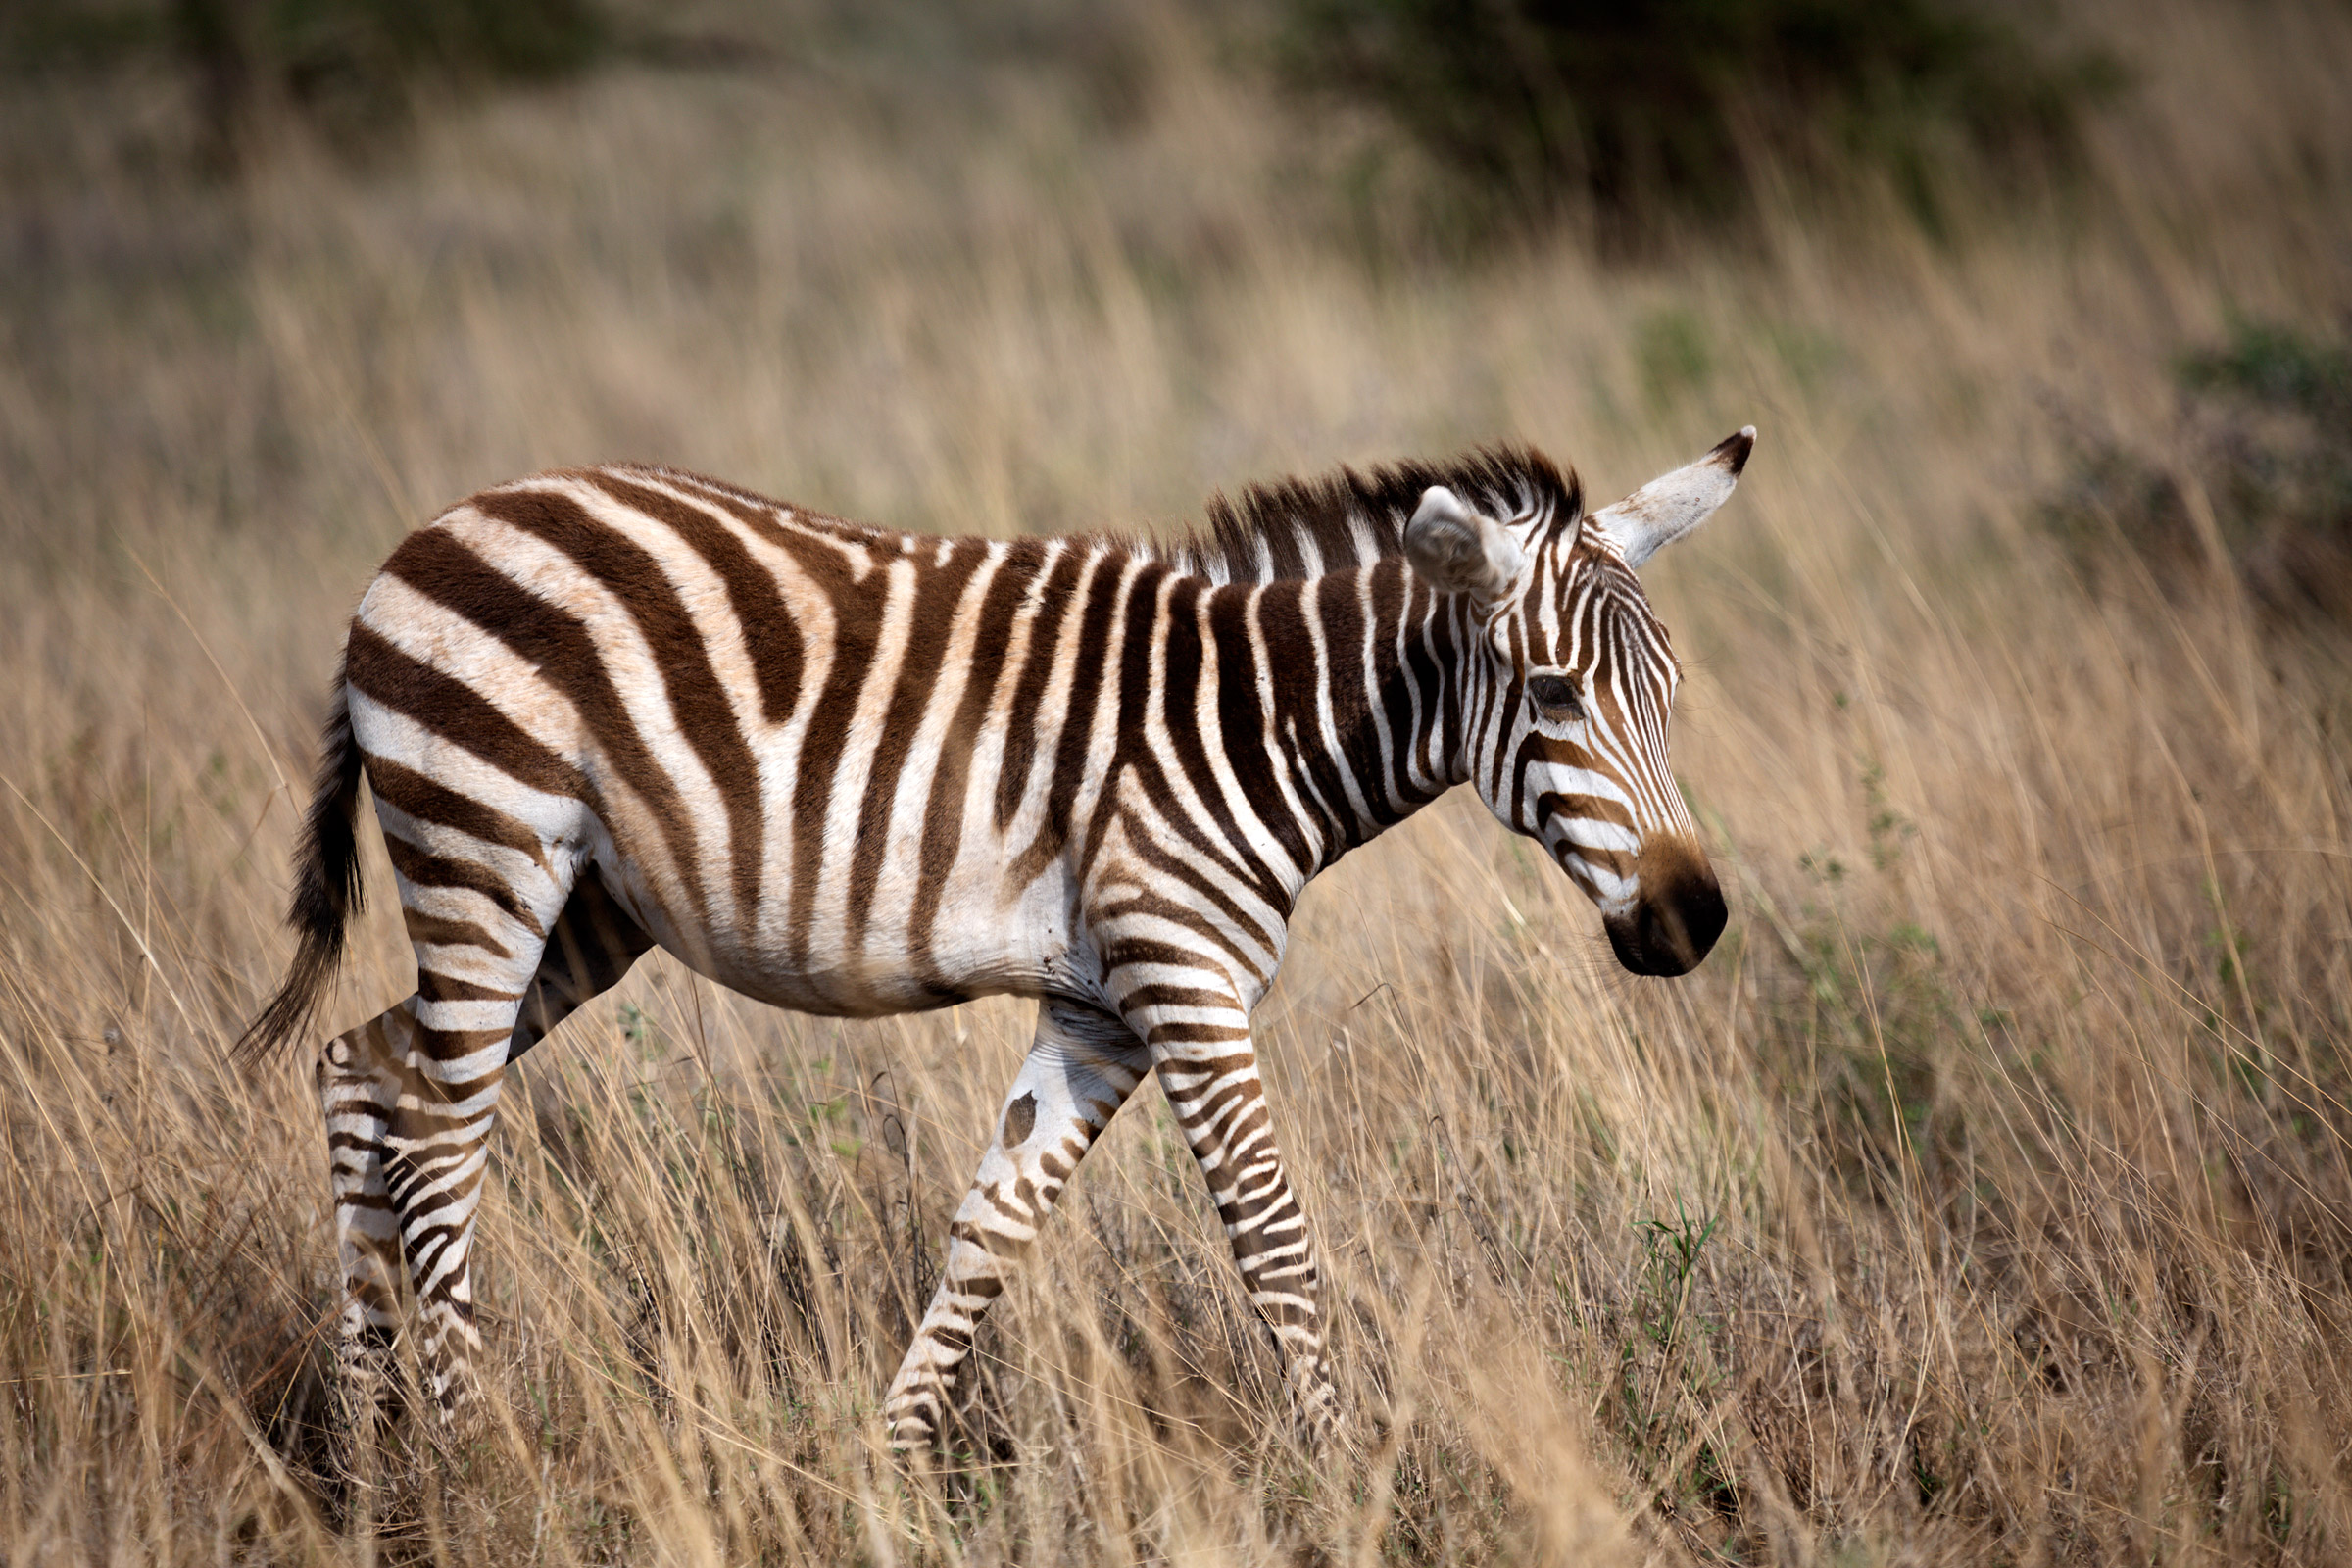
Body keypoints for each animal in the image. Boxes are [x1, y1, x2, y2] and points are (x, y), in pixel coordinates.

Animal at [239, 427, 1752, 1450]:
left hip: (582, 907)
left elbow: (991, 1227)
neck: (1249, 726)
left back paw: (376, 1458)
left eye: (1672, 694)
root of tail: (431, 533)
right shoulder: (1183, 977)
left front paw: (888, 1465)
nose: (1694, 922)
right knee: (442, 1133)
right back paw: (471, 1448)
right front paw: (1345, 1475)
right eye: (1552, 694)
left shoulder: (1101, 1009)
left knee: (365, 1073)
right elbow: (1273, 1238)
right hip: (487, 843)